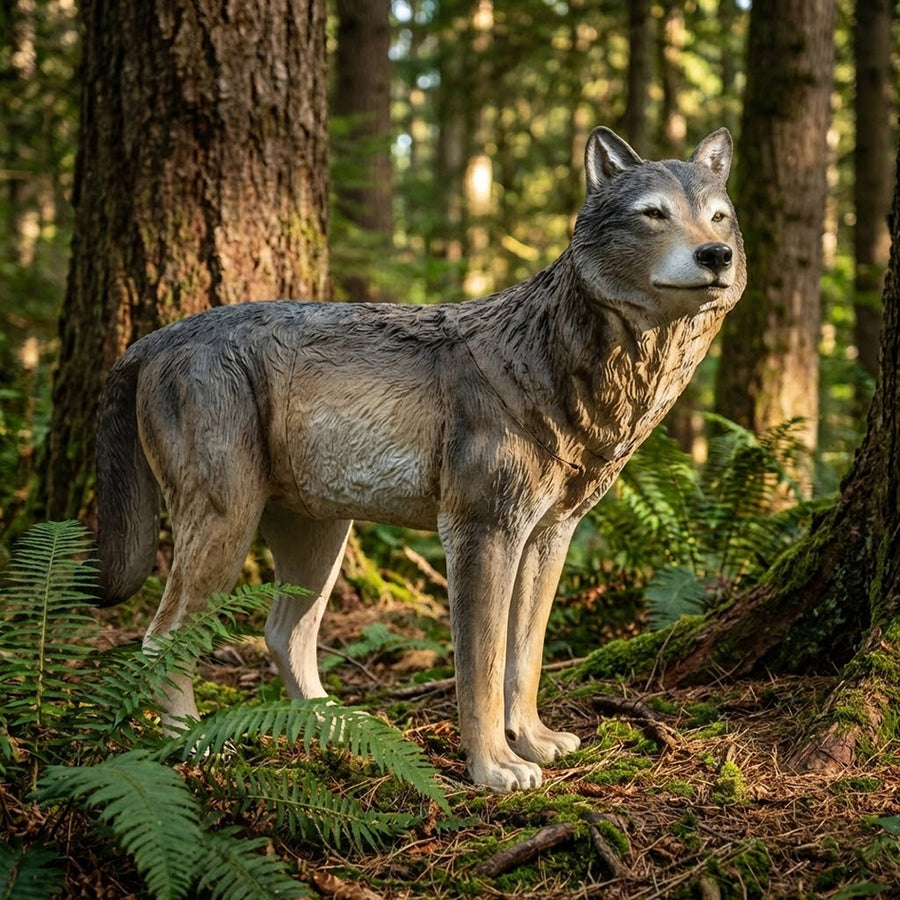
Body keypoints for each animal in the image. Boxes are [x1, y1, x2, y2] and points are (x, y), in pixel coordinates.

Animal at [95, 126, 746, 792]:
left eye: (719, 217)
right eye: (654, 214)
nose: (717, 255)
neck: (555, 362)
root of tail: (154, 338)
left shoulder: (550, 536)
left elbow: (525, 657)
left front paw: (534, 742)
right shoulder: (480, 532)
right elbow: (481, 668)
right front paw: (493, 767)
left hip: (321, 539)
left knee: (282, 636)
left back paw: (338, 729)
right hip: (227, 526)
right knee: (161, 639)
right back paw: (195, 745)